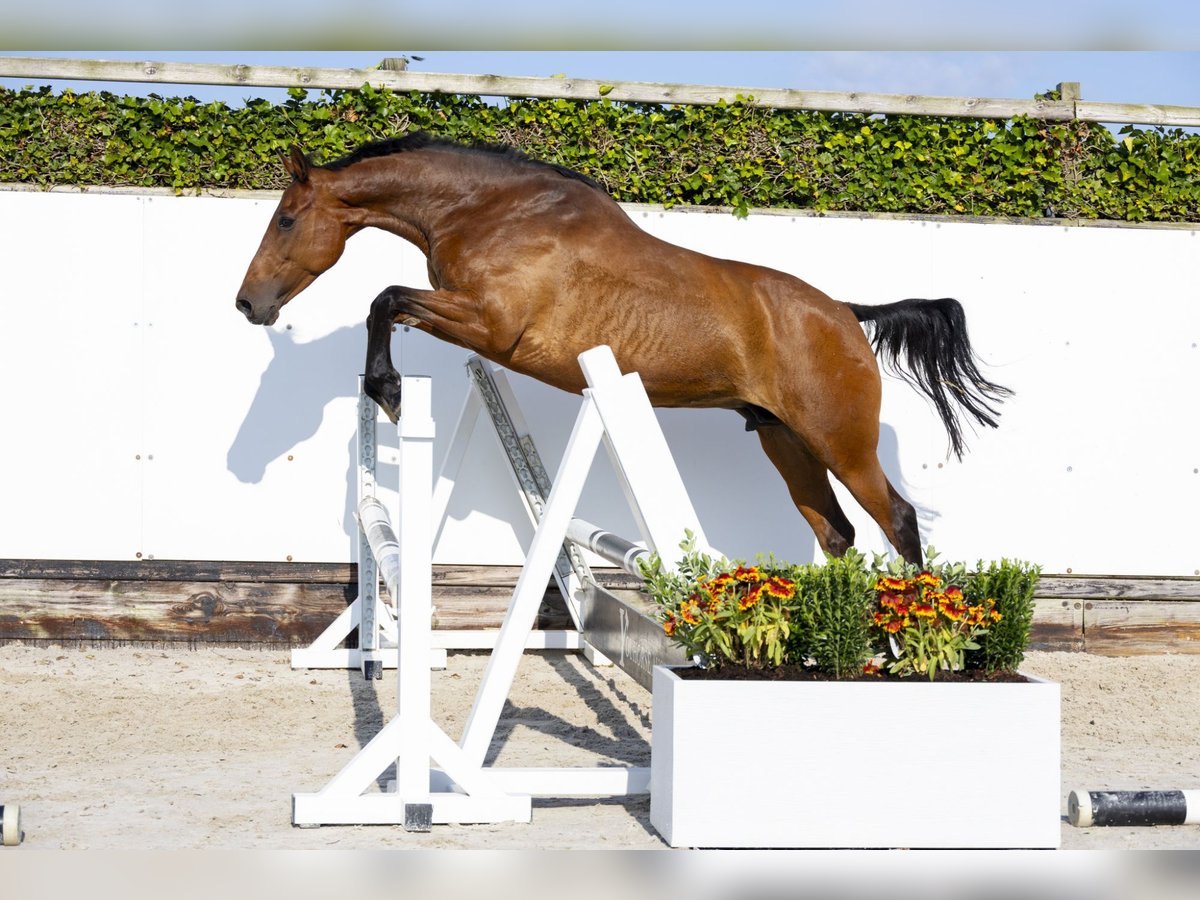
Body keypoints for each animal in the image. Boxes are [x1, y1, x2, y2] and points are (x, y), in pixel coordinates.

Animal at [231, 133, 1003, 564]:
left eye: (287, 218)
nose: (248, 304)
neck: (491, 213)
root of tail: (845, 313)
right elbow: (385, 305)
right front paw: (384, 391)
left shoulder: (491, 326)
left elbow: (385, 299)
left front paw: (388, 392)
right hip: (784, 441)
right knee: (837, 532)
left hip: (840, 442)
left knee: (897, 520)